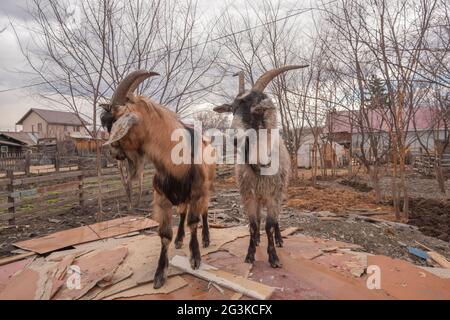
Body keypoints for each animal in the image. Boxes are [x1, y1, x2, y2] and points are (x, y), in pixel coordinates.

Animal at [100, 70, 216, 290]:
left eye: (117, 123)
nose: (113, 153)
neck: (176, 162)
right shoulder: (161, 199)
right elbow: (165, 235)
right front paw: (160, 274)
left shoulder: (197, 193)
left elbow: (194, 222)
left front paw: (195, 257)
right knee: (182, 212)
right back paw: (179, 239)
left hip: (207, 188)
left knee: (204, 211)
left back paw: (206, 238)